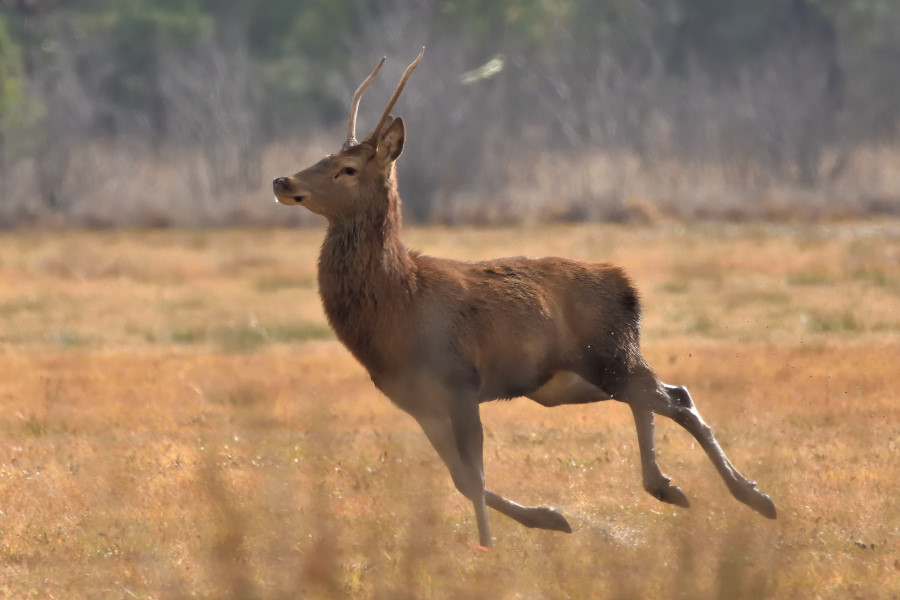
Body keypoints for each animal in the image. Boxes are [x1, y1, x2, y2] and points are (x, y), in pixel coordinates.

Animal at [270, 50, 776, 548]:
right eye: (323, 156)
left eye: (348, 169)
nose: (282, 180)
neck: (398, 305)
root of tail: (627, 287)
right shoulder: (416, 399)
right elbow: (461, 479)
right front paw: (548, 519)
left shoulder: (459, 380)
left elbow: (473, 476)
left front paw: (492, 545)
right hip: (568, 379)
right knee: (664, 395)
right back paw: (669, 486)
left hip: (606, 353)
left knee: (673, 398)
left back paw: (753, 496)